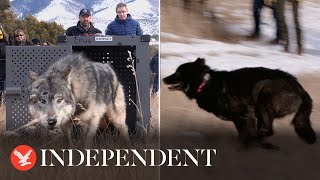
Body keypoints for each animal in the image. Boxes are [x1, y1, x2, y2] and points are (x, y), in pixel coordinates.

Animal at [164, 58, 316, 147]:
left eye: (178, 72)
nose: (163, 79)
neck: (205, 83)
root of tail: (301, 89)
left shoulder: (243, 115)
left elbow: (244, 134)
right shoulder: (242, 119)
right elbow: (242, 134)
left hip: (262, 89)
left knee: (267, 131)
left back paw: (257, 142)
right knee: (266, 131)